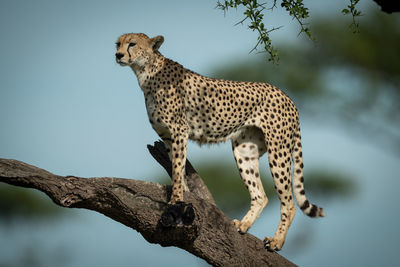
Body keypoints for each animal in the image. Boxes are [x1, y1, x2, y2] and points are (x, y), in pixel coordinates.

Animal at [115, 33, 324, 251]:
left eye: (132, 44)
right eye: (118, 44)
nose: (118, 55)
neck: (146, 72)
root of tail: (286, 96)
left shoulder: (179, 131)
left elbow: (178, 169)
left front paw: (176, 199)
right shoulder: (167, 136)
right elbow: (176, 166)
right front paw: (186, 194)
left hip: (278, 150)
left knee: (289, 203)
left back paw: (277, 241)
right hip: (244, 150)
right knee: (260, 195)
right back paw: (244, 225)